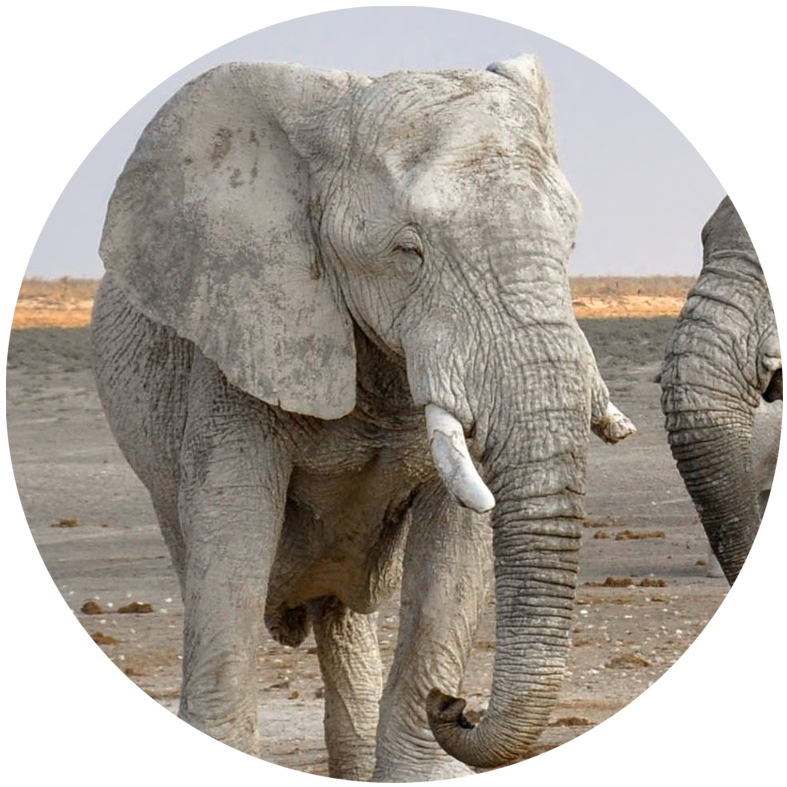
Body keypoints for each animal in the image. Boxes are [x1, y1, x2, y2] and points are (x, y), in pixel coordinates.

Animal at [91, 55, 636, 780]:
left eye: (569, 243)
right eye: (410, 252)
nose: (455, 705)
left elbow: (453, 550)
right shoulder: (236, 335)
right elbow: (232, 535)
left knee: (341, 613)